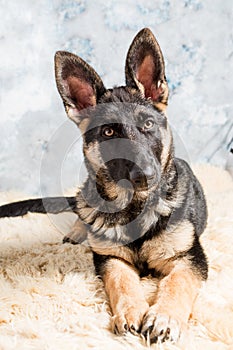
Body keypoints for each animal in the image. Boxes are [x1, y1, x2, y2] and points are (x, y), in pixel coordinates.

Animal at [0, 28, 208, 344]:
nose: (145, 175)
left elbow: (177, 282)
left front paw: (164, 316)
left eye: (148, 124)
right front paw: (132, 311)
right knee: (82, 211)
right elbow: (122, 281)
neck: (135, 208)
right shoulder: (110, 258)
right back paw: (78, 230)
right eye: (109, 132)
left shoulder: (190, 258)